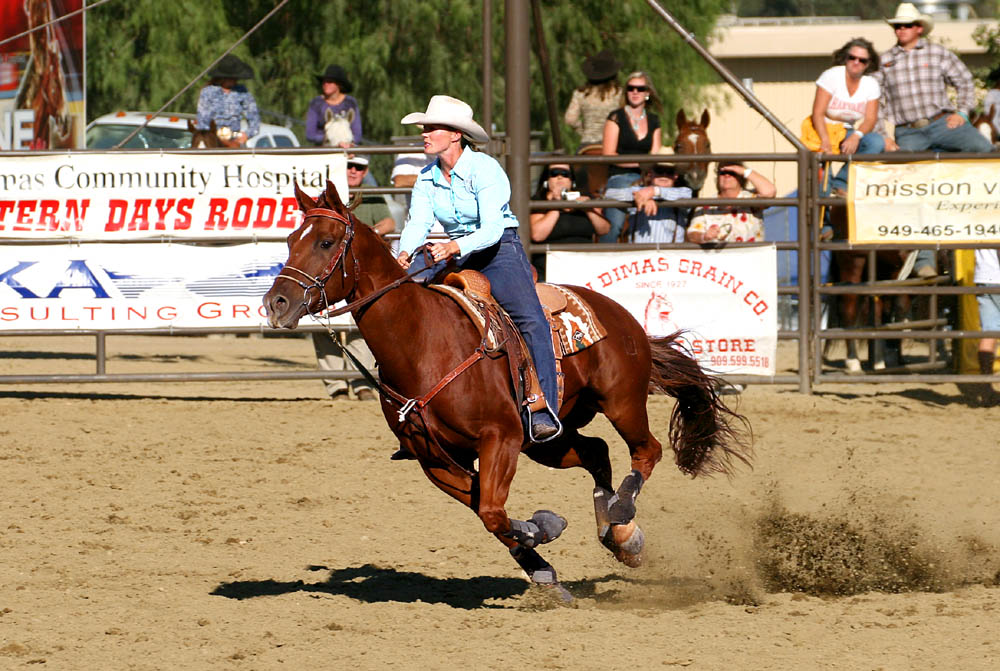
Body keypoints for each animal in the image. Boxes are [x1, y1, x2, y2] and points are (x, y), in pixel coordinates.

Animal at [262, 181, 748, 596]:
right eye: (290, 240)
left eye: (326, 242)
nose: (276, 303)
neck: (423, 342)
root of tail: (618, 313)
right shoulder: (435, 460)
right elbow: (486, 512)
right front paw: (543, 562)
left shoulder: (501, 438)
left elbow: (494, 512)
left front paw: (543, 528)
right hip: (548, 439)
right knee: (596, 452)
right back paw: (618, 535)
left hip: (620, 402)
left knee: (646, 450)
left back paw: (623, 522)